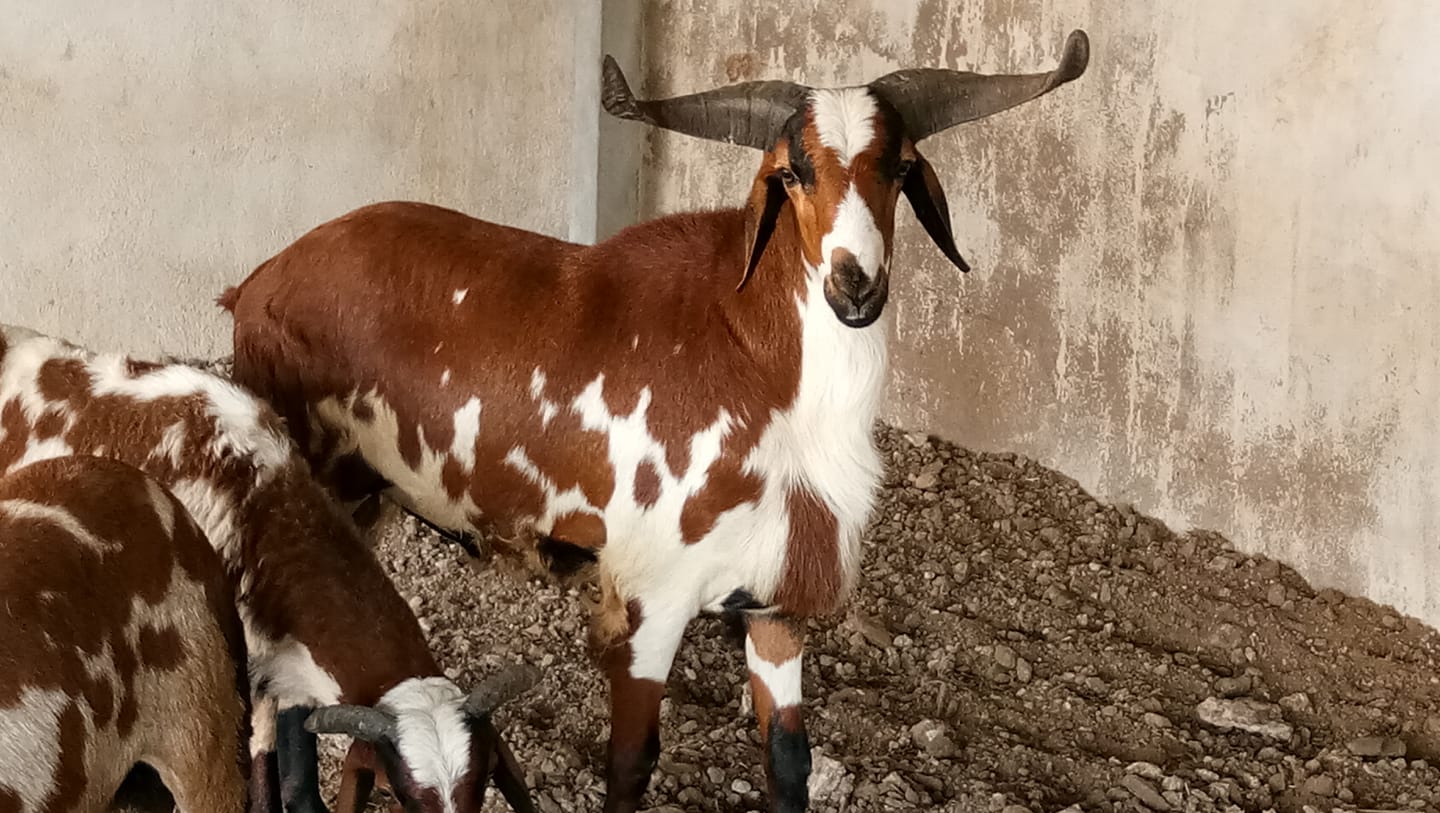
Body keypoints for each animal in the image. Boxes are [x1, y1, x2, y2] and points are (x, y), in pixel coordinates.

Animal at [217, 31, 1089, 812]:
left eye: (902, 167)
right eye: (792, 171)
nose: (856, 284)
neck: (757, 363)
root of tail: (257, 282)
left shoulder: (774, 603)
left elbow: (789, 763)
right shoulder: (652, 597)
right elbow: (631, 764)